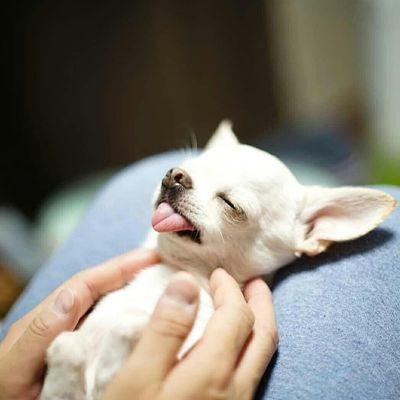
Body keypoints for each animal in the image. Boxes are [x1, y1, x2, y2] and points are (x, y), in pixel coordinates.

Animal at [40, 122, 396, 400]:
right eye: (185, 166)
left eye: (230, 204)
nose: (174, 174)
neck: (176, 271)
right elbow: (63, 347)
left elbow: (121, 337)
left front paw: (113, 358)